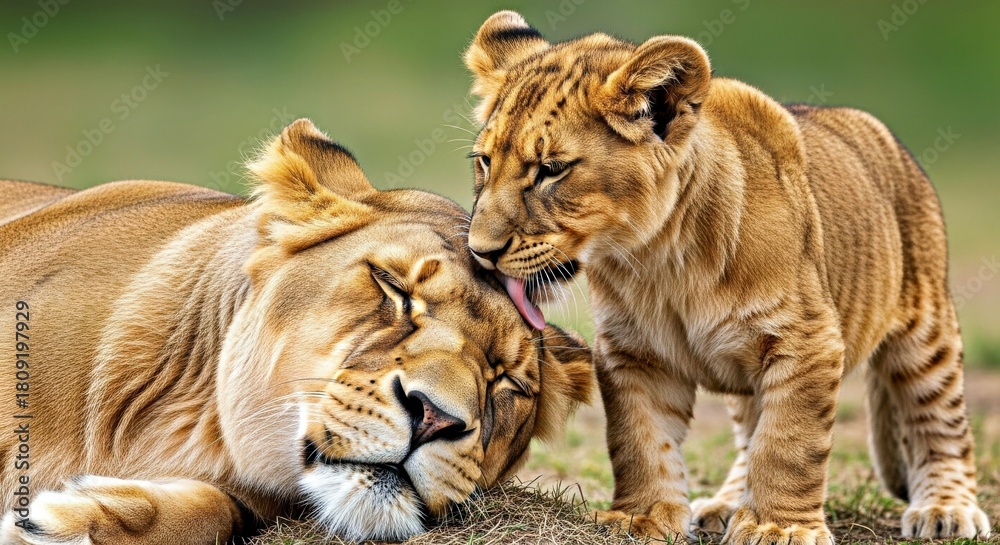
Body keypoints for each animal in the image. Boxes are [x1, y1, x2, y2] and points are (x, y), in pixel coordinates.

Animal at [0, 118, 594, 544]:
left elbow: (218, 510)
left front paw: (63, 524)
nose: (434, 419)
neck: (184, 424)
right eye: (394, 288)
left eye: (506, 381)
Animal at [461, 10, 991, 543]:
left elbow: (788, 443)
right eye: (484, 162)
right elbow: (640, 440)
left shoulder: (807, 341)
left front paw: (780, 526)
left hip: (925, 328)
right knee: (749, 432)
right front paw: (642, 517)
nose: (480, 252)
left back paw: (946, 509)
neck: (657, 259)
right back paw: (727, 503)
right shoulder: (634, 353)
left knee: (941, 422)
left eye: (551, 169)